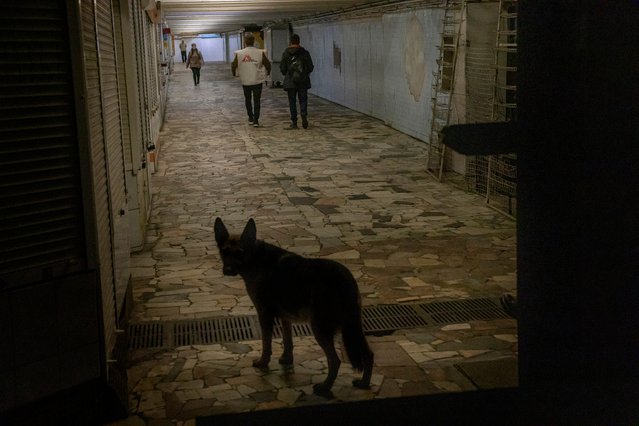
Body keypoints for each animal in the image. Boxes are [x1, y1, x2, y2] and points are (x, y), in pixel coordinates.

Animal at [215, 218, 376, 398]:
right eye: (224, 252)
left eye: (239, 253)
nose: (227, 270)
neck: (255, 257)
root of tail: (346, 279)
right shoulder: (286, 317)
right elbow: (287, 340)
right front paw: (286, 359)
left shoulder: (264, 315)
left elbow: (266, 344)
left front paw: (263, 362)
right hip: (352, 327)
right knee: (368, 354)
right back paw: (364, 383)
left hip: (320, 328)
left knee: (335, 361)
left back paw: (325, 387)